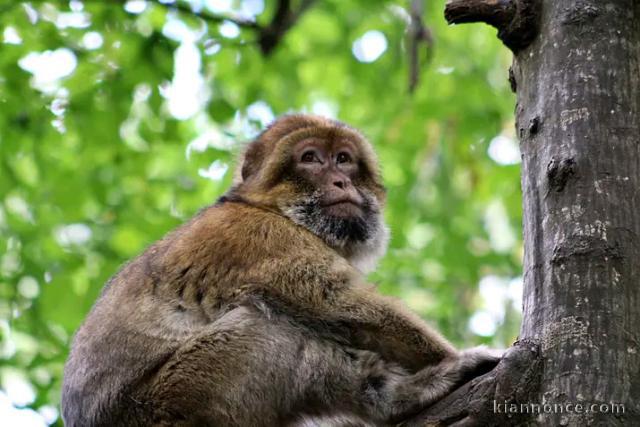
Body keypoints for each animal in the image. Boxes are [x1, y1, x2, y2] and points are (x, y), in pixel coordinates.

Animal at [61, 114, 502, 427]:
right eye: (310, 158)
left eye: (344, 159)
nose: (341, 181)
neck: (271, 208)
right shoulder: (263, 238)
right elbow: (338, 304)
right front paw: (452, 358)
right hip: (173, 401)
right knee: (268, 325)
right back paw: (393, 396)